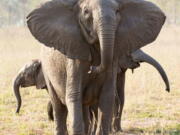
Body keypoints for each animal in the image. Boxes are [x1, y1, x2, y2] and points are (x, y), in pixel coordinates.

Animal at [26, 0, 166, 134]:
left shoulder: (113, 60)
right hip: (46, 70)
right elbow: (74, 95)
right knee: (58, 106)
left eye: (117, 11)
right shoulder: (74, 57)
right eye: (86, 12)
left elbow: (108, 97)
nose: (92, 68)